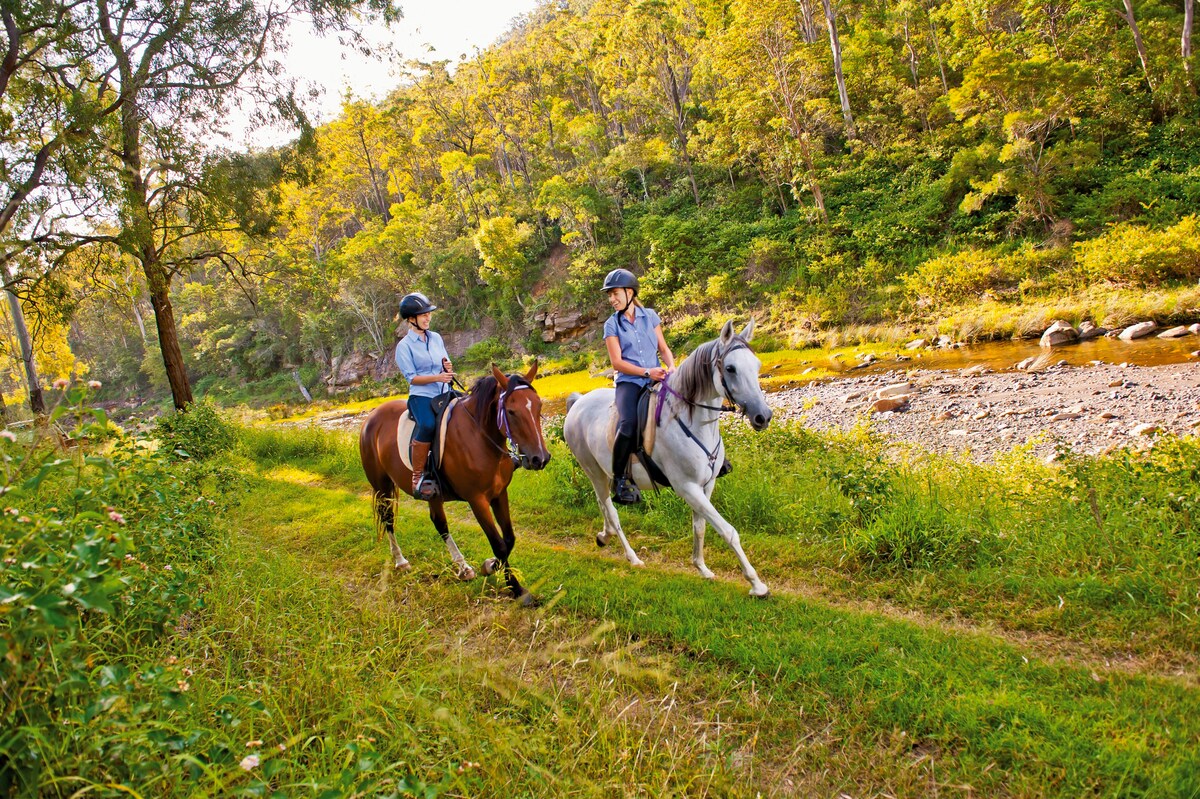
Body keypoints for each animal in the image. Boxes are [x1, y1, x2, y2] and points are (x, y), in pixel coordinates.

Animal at [357, 359, 549, 597]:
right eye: (511, 412)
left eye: (538, 406)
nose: (540, 458)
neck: (479, 436)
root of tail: (371, 418)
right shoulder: (477, 500)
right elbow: (499, 544)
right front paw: (513, 586)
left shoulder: (499, 494)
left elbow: (509, 539)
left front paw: (493, 568)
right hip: (381, 485)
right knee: (388, 518)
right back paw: (401, 561)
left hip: (432, 494)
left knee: (439, 523)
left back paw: (463, 568)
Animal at [564, 316, 772, 590]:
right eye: (730, 368)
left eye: (756, 365)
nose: (763, 416)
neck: (691, 421)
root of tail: (578, 402)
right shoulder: (687, 487)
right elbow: (728, 531)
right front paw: (756, 584)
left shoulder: (706, 485)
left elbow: (700, 527)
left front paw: (702, 568)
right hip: (592, 470)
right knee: (612, 510)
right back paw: (632, 557)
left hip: (604, 472)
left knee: (603, 503)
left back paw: (603, 536)